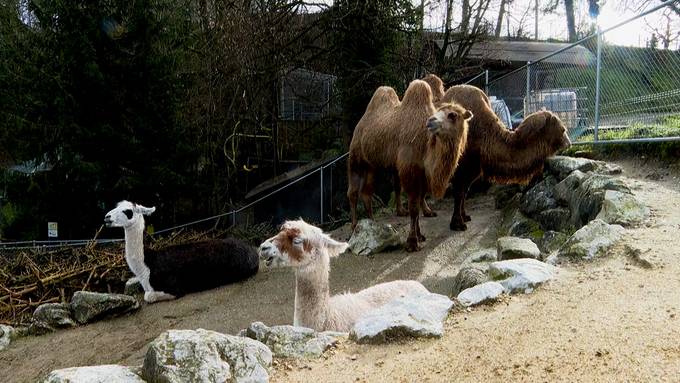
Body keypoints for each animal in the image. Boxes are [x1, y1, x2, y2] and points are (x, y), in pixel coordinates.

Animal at [348, 79, 470, 250]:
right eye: (438, 111)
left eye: (453, 115)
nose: (430, 121)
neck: (426, 143)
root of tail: (360, 123)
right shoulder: (409, 170)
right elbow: (413, 207)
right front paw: (412, 242)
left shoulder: (423, 175)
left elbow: (419, 202)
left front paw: (420, 235)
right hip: (356, 158)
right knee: (352, 192)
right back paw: (353, 227)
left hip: (372, 165)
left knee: (367, 192)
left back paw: (371, 223)